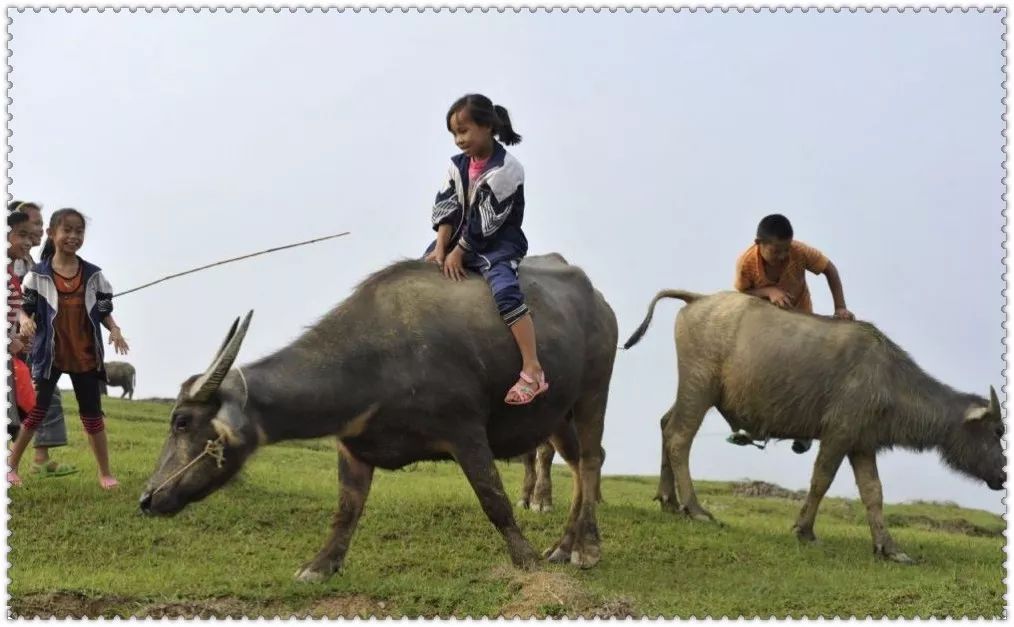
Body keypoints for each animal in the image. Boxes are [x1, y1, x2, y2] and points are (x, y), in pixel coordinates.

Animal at [620, 290, 1001, 560]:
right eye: (997, 431)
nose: (1002, 474)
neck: (889, 380)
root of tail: (698, 298)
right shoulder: (838, 435)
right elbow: (821, 480)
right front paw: (804, 530)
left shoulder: (862, 444)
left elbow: (874, 493)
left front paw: (889, 548)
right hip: (700, 388)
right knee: (680, 437)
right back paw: (695, 508)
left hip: (693, 391)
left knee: (666, 424)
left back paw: (668, 500)